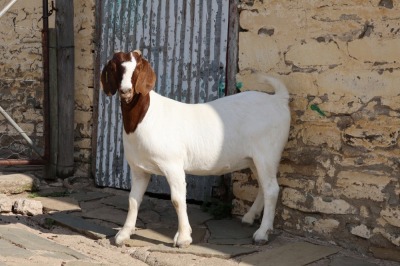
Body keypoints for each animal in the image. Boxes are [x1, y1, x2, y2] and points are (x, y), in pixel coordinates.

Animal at [100, 50, 290, 249]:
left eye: (137, 68)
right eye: (116, 67)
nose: (126, 91)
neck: (146, 117)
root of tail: (278, 100)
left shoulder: (173, 165)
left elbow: (177, 200)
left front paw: (183, 238)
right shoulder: (139, 169)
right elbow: (133, 200)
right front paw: (123, 234)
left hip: (267, 154)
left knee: (271, 189)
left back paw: (262, 233)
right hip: (254, 159)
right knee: (263, 186)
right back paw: (250, 217)